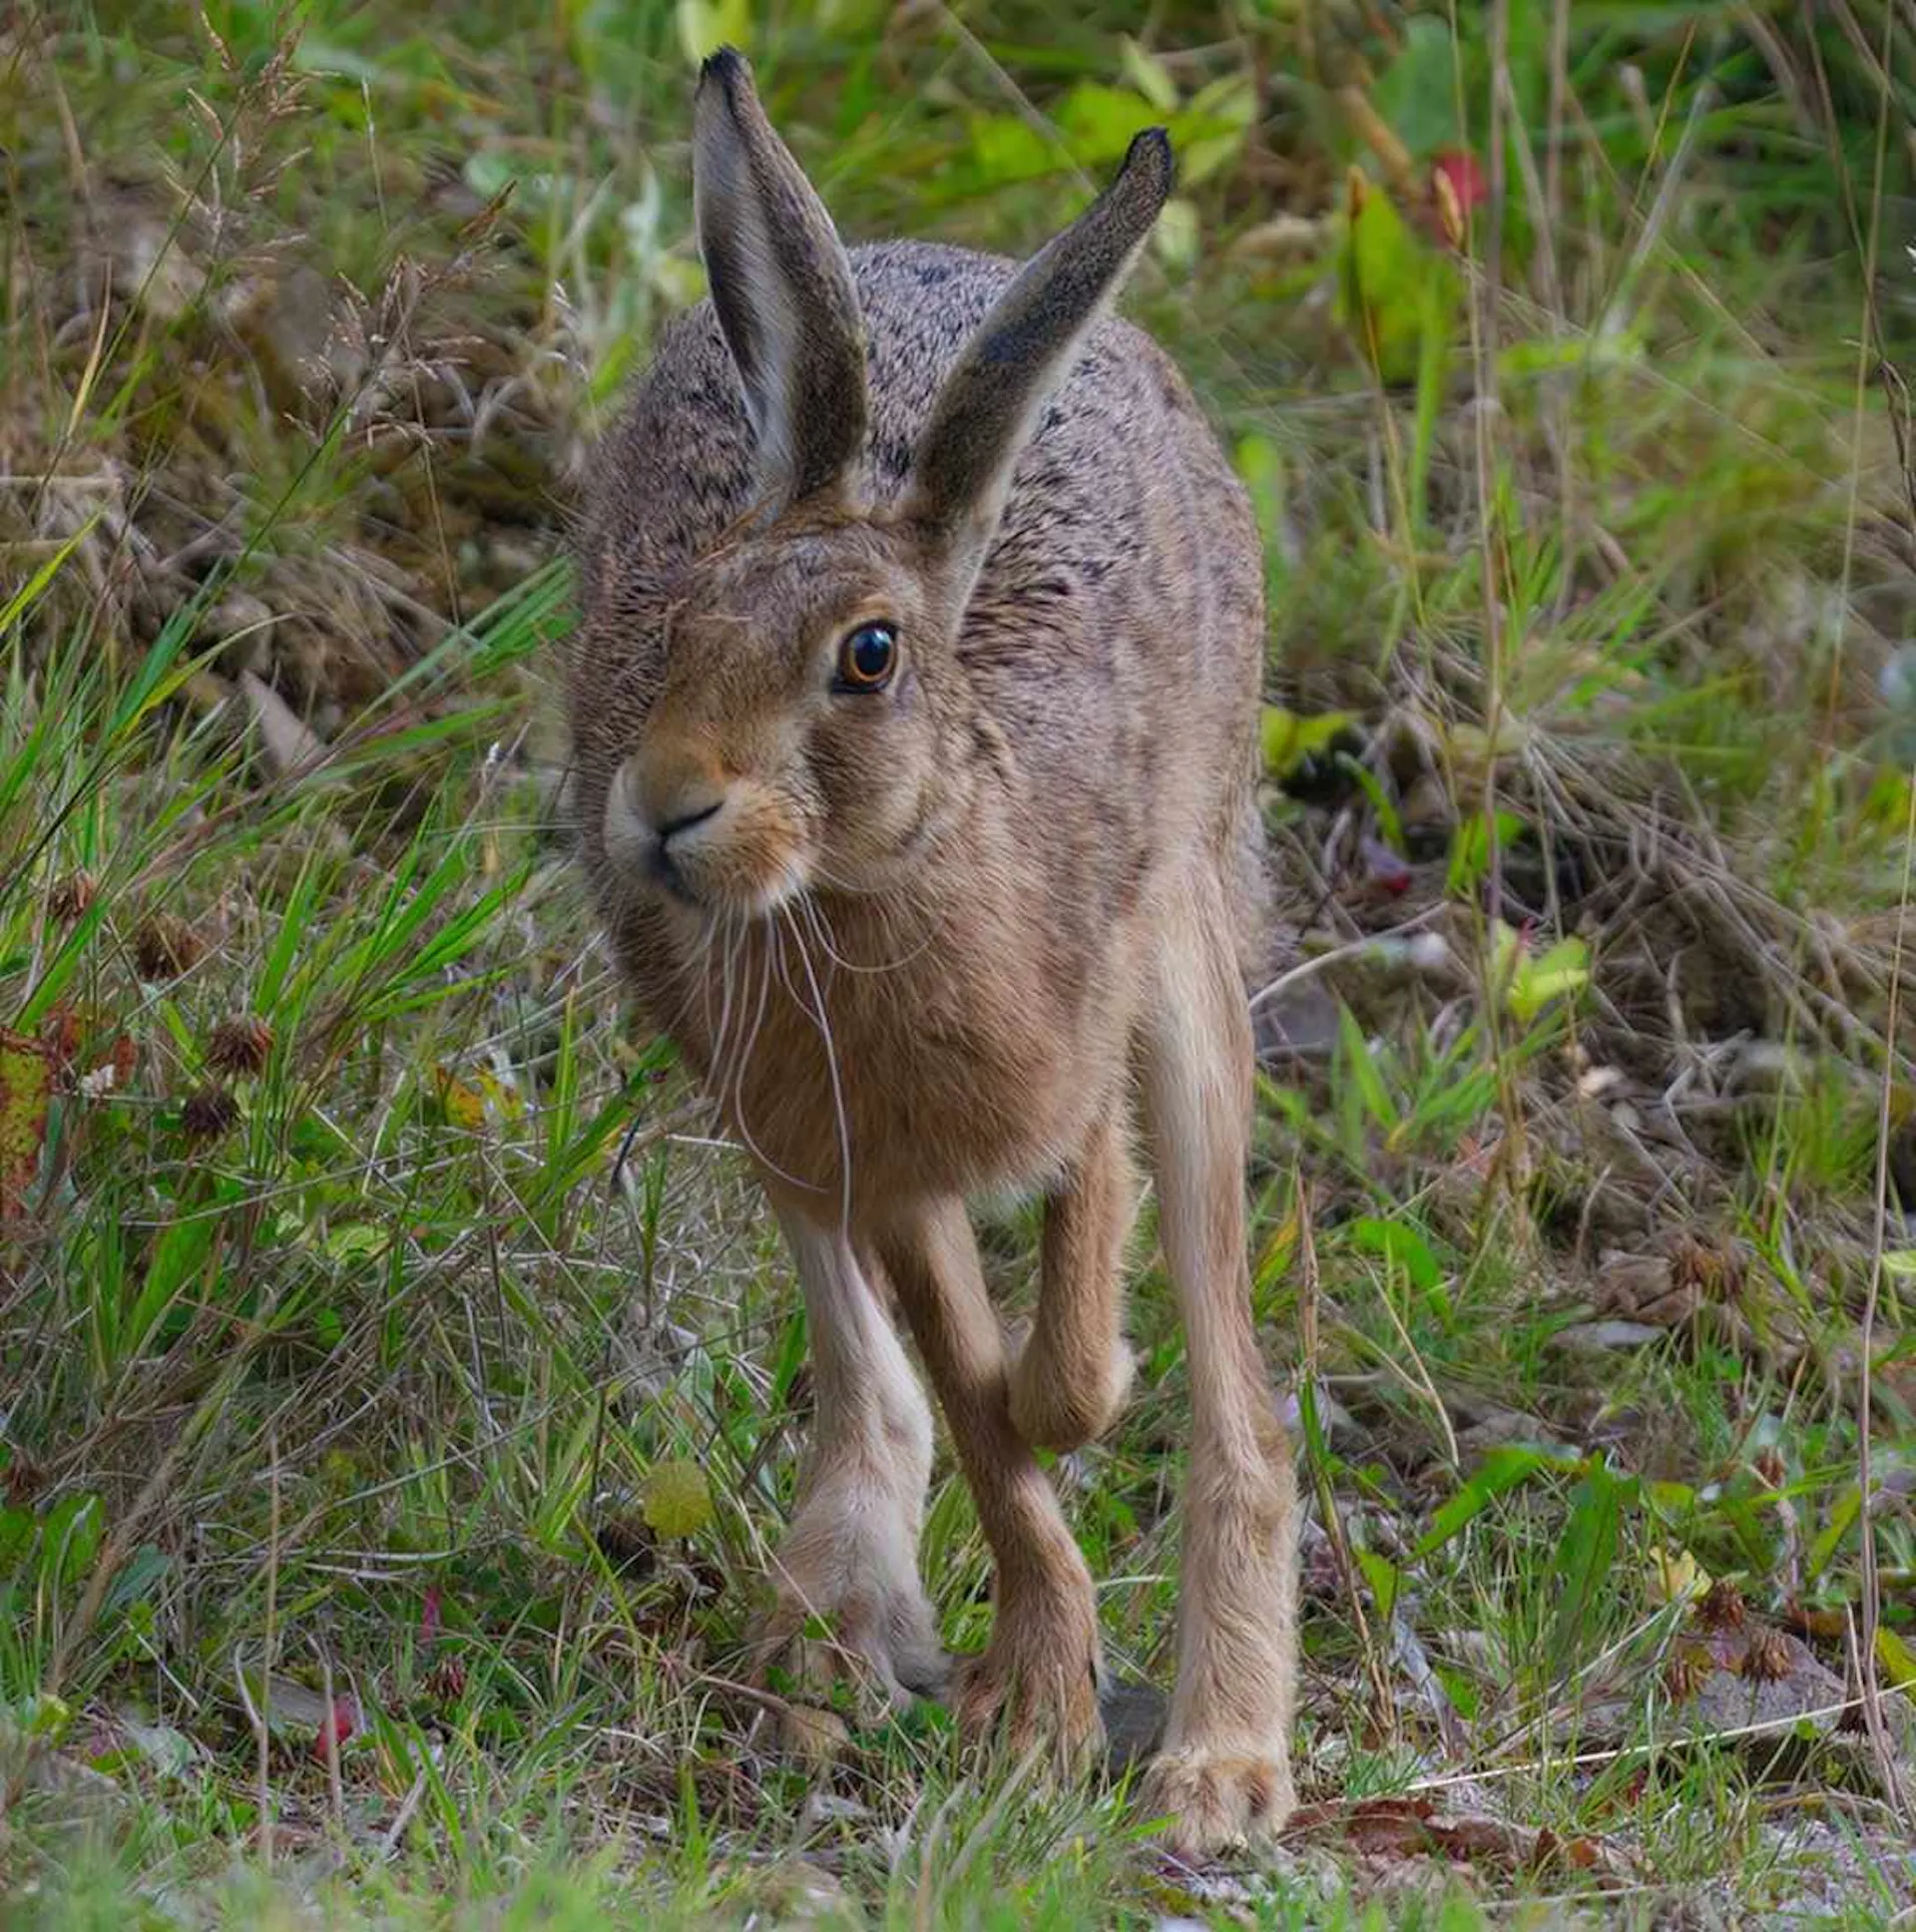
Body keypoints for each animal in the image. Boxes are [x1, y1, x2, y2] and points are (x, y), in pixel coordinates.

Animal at [568, 48, 1298, 1858]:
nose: (663, 810)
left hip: (1200, 963)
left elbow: (1074, 1314)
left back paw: (1223, 1763)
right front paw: (1035, 1710)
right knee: (874, 1384)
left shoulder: (1106, 1004)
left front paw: (1076, 1402)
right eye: (684, 623)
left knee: (1247, 1410)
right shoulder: (873, 1160)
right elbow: (982, 1433)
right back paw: (838, 1633)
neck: (865, 878)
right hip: (747, 1094)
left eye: (870, 657)